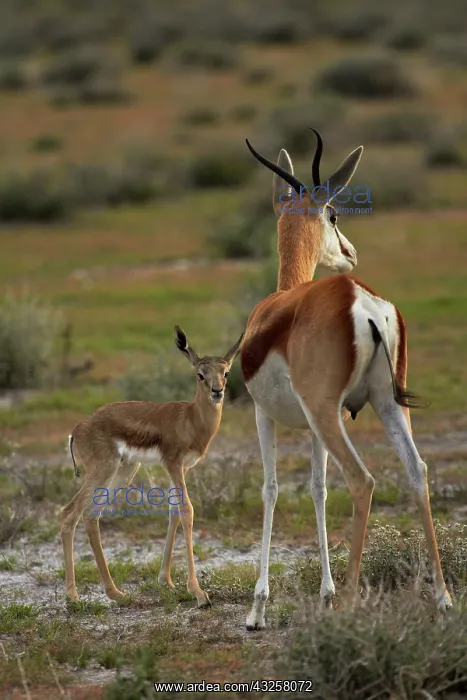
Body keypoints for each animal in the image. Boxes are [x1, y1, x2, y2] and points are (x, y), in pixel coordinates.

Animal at [61, 326, 243, 608]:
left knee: (91, 515)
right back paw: (73, 596)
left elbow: (174, 512)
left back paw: (115, 592)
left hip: (123, 472)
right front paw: (198, 593)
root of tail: (77, 430)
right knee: (69, 513)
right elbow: (187, 510)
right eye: (200, 374)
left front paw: (166, 581)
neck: (190, 418)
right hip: (103, 471)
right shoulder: (173, 464)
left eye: (225, 372)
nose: (217, 391)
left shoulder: (181, 469)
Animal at [240, 130, 452, 630]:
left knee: (362, 480)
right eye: (334, 215)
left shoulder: (266, 414)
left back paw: (354, 604)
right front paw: (325, 594)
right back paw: (443, 600)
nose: (350, 253)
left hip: (331, 415)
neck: (279, 305)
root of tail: (362, 300)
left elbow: (271, 489)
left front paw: (258, 609)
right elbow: (317, 490)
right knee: (417, 470)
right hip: (385, 404)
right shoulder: (315, 423)